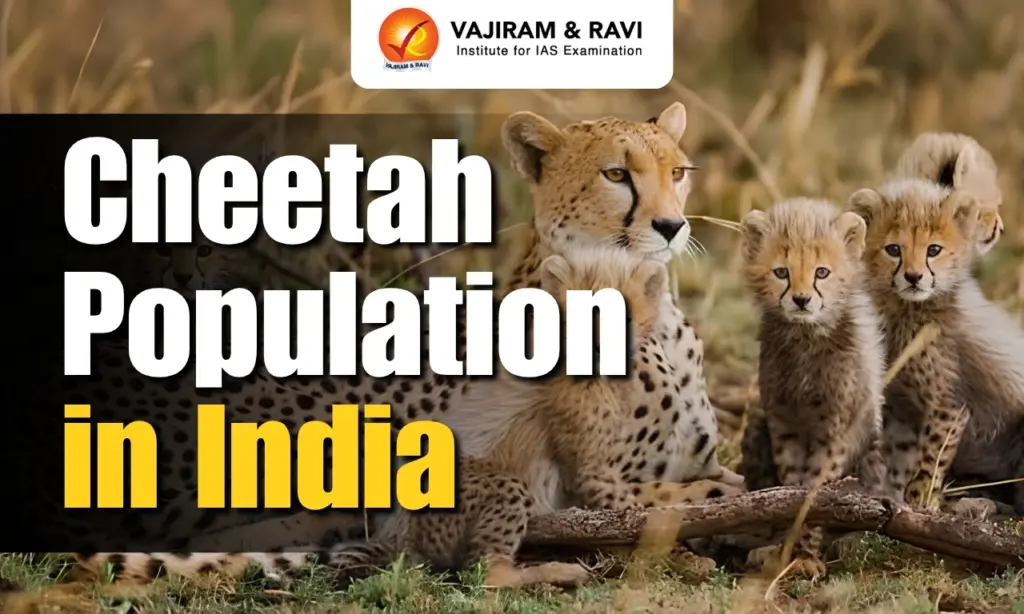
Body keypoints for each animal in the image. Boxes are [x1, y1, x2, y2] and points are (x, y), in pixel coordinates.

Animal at [737, 198, 887, 579]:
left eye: (822, 272)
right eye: (781, 272)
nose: (802, 300)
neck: (806, 337)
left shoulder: (835, 430)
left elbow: (815, 492)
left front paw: (804, 552)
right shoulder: (783, 422)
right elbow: (791, 487)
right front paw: (786, 548)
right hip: (756, 429)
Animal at [849, 178, 1024, 514]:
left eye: (933, 250)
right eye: (894, 249)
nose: (913, 277)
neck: (908, 312)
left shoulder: (949, 407)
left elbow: (929, 461)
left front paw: (920, 503)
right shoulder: (902, 410)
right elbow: (900, 460)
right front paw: (894, 499)